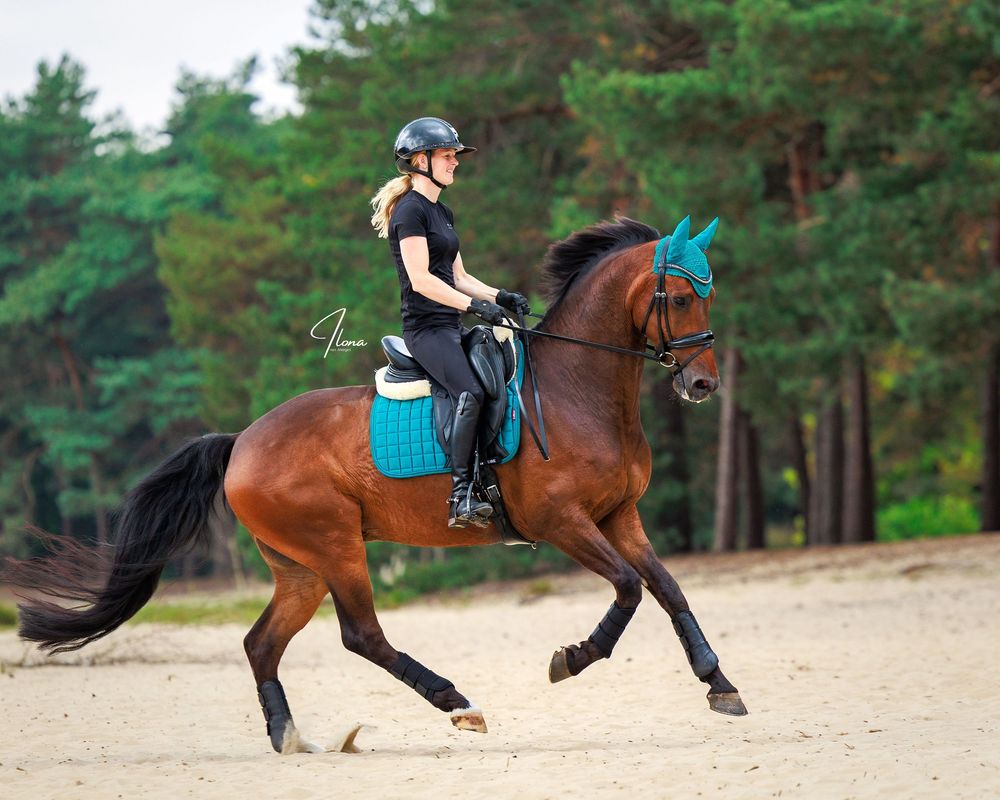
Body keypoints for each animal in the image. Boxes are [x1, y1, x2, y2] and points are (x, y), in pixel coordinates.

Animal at [9, 216, 747, 754]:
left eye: (709, 294)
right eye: (680, 296)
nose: (702, 384)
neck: (578, 391)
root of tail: (241, 442)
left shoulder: (621, 515)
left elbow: (668, 588)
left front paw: (720, 684)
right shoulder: (562, 521)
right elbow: (627, 588)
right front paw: (572, 658)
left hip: (300, 566)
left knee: (262, 643)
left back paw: (289, 738)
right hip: (336, 546)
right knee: (361, 635)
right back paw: (459, 704)